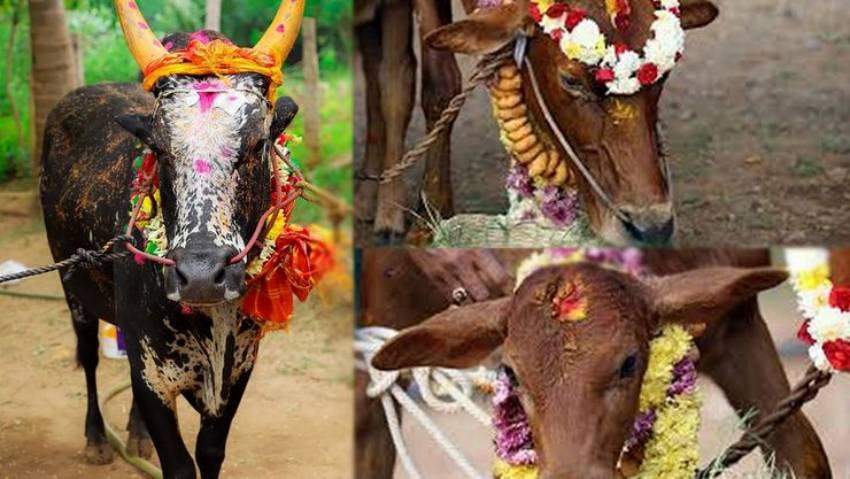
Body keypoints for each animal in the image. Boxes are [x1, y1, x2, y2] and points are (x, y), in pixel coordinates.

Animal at [38, 1, 304, 478]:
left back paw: (135, 434)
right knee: (88, 355)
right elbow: (179, 465)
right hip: (72, 287)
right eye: (159, 149)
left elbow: (210, 453)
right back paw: (96, 438)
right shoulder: (152, 378)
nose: (199, 276)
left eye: (257, 144)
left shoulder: (239, 370)